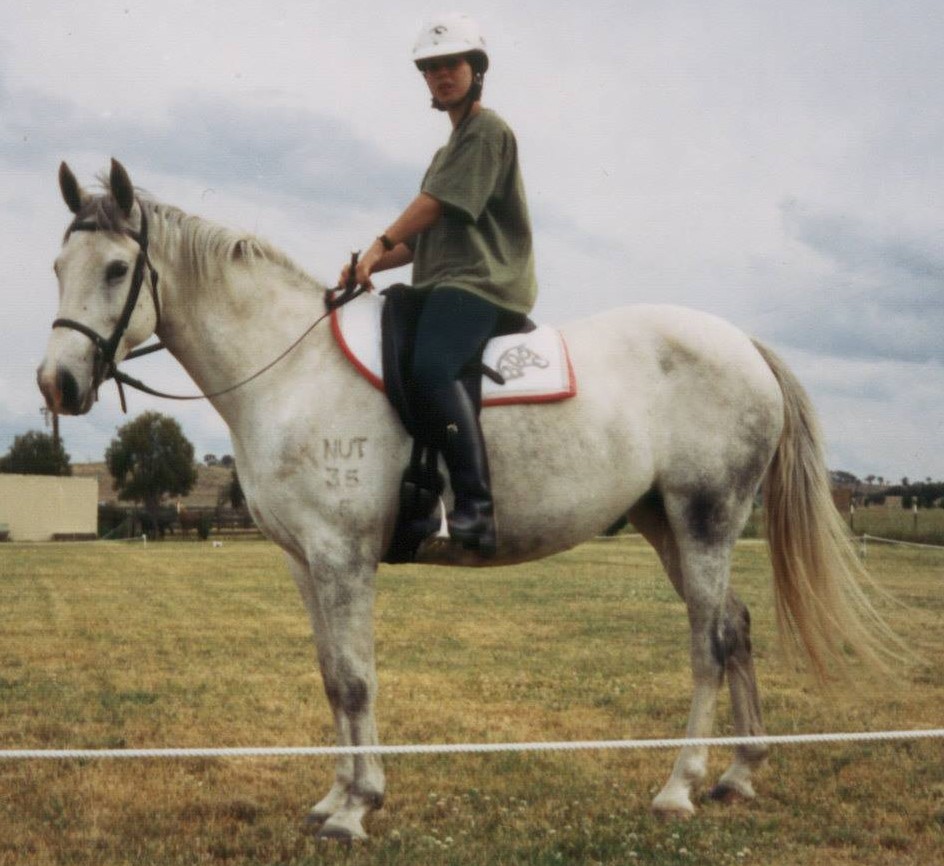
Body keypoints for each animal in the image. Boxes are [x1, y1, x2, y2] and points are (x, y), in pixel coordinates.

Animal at [37, 160, 892, 836]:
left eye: (116, 271)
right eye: (55, 266)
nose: (57, 384)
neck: (293, 368)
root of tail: (741, 343)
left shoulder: (343, 557)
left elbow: (356, 677)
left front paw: (357, 807)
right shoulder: (304, 562)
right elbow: (331, 674)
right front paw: (334, 797)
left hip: (705, 517)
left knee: (708, 643)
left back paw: (678, 786)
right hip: (665, 524)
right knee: (736, 627)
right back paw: (740, 774)